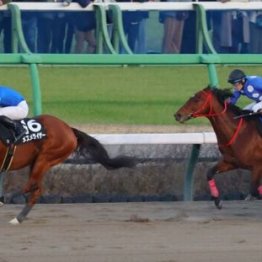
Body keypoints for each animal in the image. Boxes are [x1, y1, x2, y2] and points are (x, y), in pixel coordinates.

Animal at [0, 113, 134, 224]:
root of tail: (69, 129)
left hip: (45, 158)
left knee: (31, 185)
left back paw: (8, 204)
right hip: (38, 161)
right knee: (36, 189)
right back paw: (19, 217)